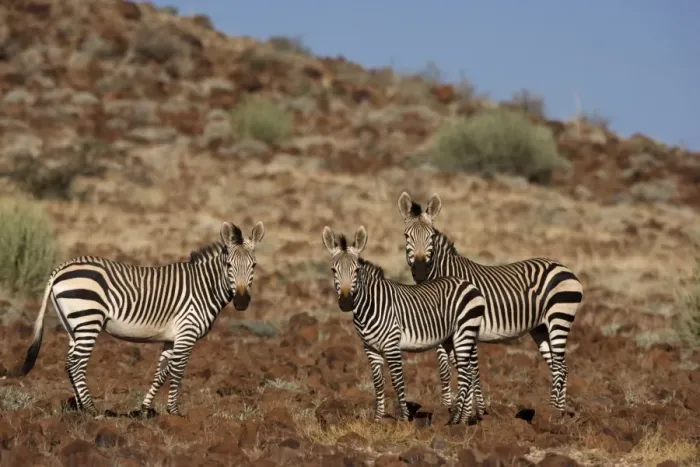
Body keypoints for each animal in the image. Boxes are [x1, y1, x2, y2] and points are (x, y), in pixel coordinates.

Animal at [16, 221, 265, 417]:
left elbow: (161, 373)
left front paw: (145, 409)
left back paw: (79, 409)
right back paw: (91, 409)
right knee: (76, 363)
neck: (204, 288)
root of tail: (60, 269)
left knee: (69, 362)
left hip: (72, 324)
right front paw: (174, 413)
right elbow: (178, 371)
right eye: (228, 265)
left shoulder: (171, 338)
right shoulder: (187, 332)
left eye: (253, 265)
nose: (242, 302)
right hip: (88, 320)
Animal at [322, 224, 487, 425]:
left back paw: (454, 420)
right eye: (333, 270)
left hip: (464, 332)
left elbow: (397, 381)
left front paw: (404, 418)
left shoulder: (392, 345)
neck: (370, 306)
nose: (346, 303)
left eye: (357, 271)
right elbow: (378, 383)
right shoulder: (370, 348)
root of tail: (468, 283)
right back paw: (463, 419)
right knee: (468, 372)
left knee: (465, 374)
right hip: (452, 338)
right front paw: (378, 419)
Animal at [397, 191, 584, 413]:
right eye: (406, 236)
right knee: (560, 367)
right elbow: (444, 369)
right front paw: (446, 409)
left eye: (431, 237)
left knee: (560, 367)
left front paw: (473, 412)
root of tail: (564, 268)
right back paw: (557, 412)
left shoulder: (468, 328)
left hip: (559, 318)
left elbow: (471, 371)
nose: (420, 271)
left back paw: (553, 413)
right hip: (541, 328)